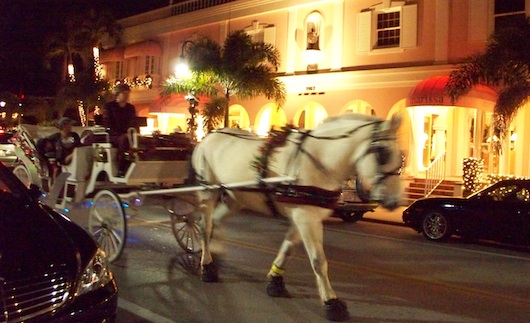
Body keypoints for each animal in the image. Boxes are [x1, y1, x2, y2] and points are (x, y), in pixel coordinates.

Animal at [190, 114, 400, 322]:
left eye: (401, 156)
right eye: (383, 153)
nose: (394, 202)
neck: (319, 159)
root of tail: (207, 138)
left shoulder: (306, 217)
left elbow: (288, 247)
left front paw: (275, 281)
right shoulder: (305, 218)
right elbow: (318, 261)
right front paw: (332, 303)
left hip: (236, 198)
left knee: (215, 222)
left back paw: (213, 254)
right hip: (208, 190)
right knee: (204, 227)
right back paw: (207, 266)